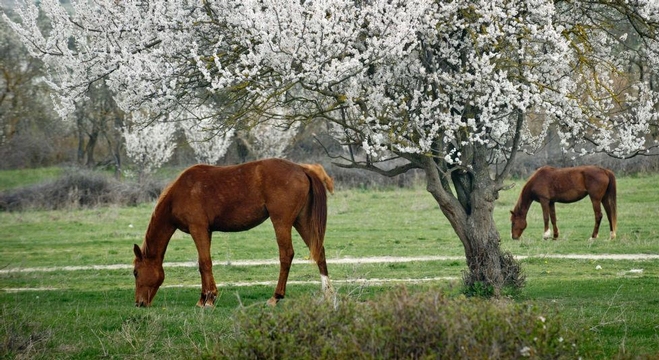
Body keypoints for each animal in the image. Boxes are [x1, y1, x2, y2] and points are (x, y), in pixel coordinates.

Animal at [132, 159, 336, 308]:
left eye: (135, 272)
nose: (139, 303)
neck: (180, 193)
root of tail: (302, 168)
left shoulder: (198, 229)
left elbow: (205, 263)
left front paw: (210, 298)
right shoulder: (206, 231)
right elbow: (202, 264)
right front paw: (203, 298)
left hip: (282, 222)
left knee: (286, 255)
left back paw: (276, 296)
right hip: (301, 221)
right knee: (319, 252)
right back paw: (328, 294)